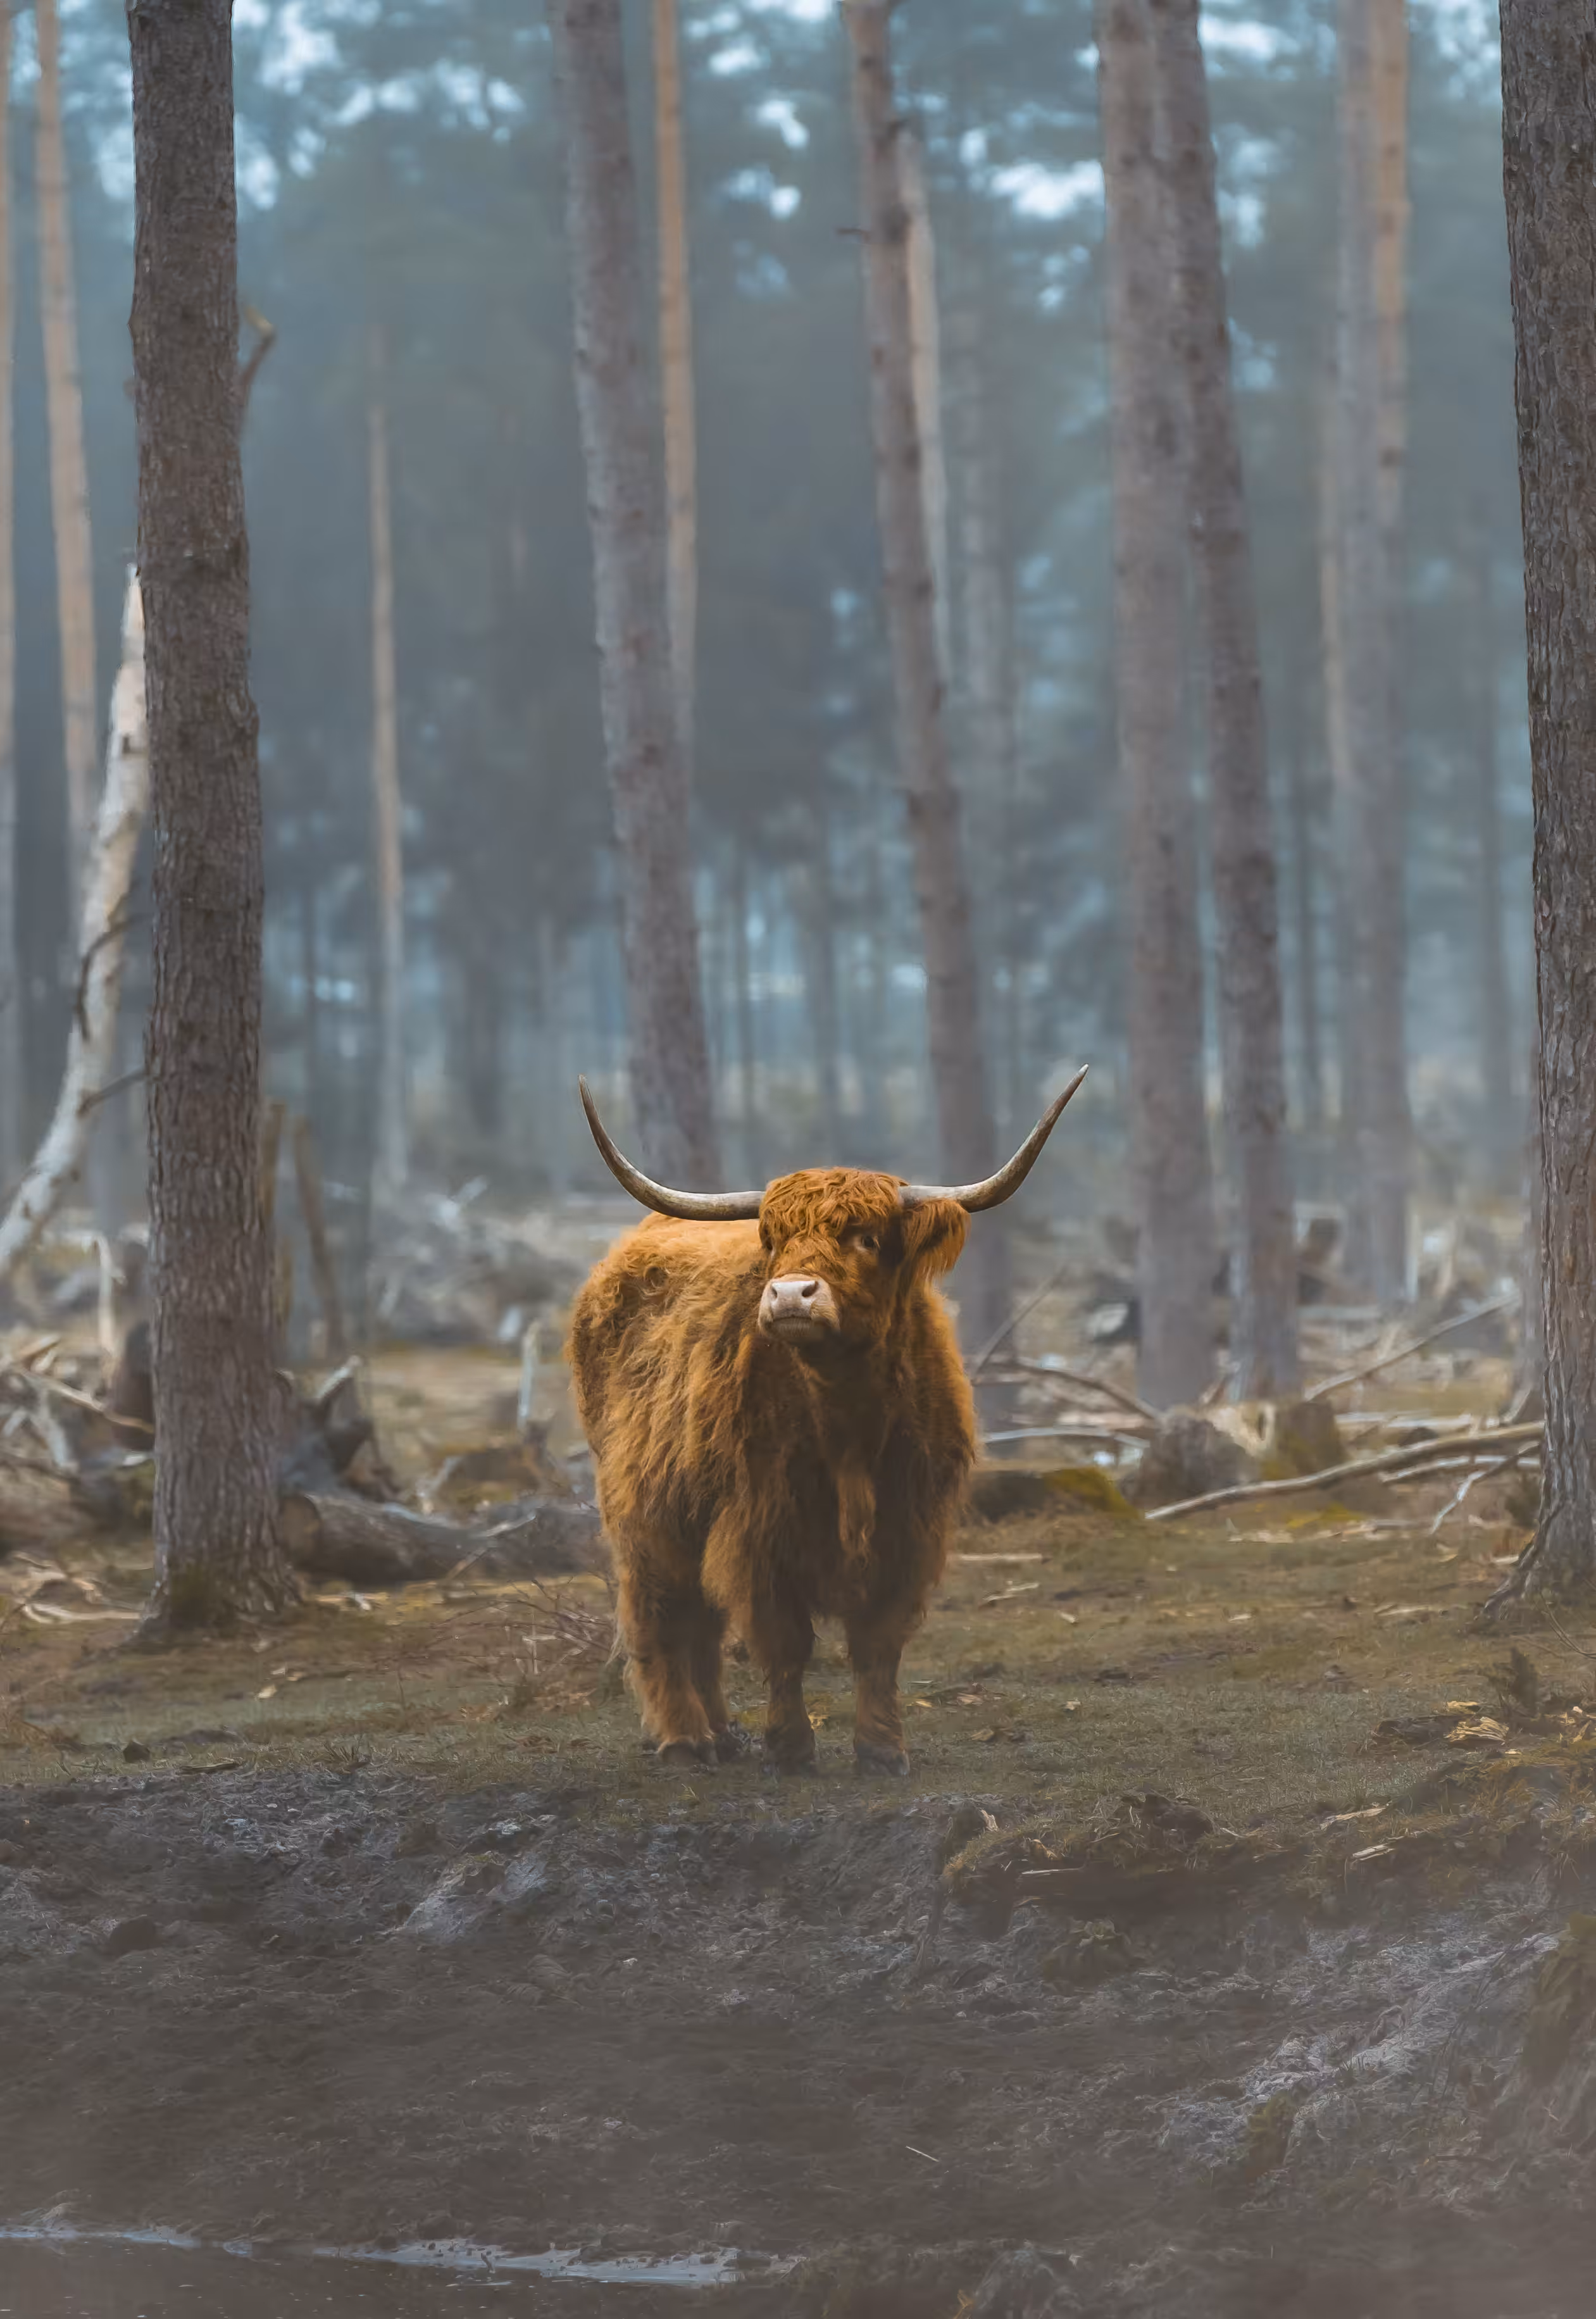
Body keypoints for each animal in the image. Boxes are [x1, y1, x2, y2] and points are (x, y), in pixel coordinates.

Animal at [566, 1069, 1087, 1775]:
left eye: (866, 1237)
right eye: (771, 1239)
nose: (790, 1295)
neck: (847, 1425)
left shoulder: (908, 1529)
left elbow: (878, 1645)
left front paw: (882, 1748)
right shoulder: (759, 1527)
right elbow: (785, 1643)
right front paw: (790, 1748)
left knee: (700, 1625)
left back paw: (722, 1733)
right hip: (643, 1508)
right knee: (661, 1616)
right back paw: (684, 1740)